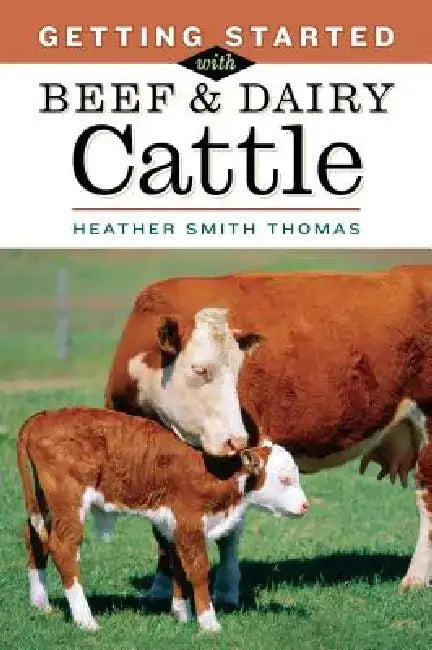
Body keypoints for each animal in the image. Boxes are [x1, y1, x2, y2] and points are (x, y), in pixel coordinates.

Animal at [17, 407, 308, 633]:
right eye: (285, 479)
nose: (305, 506)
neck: (213, 476)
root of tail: (42, 417)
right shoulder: (190, 523)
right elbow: (198, 569)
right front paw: (208, 622)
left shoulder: (172, 525)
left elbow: (177, 565)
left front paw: (181, 613)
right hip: (69, 500)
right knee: (64, 548)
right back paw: (85, 619)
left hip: (43, 501)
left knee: (35, 538)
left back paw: (41, 604)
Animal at [105, 265, 432, 599]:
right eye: (200, 369)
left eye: (239, 371)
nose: (236, 439)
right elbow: (162, 527)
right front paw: (160, 588)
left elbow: (230, 529)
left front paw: (226, 589)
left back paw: (415, 578)